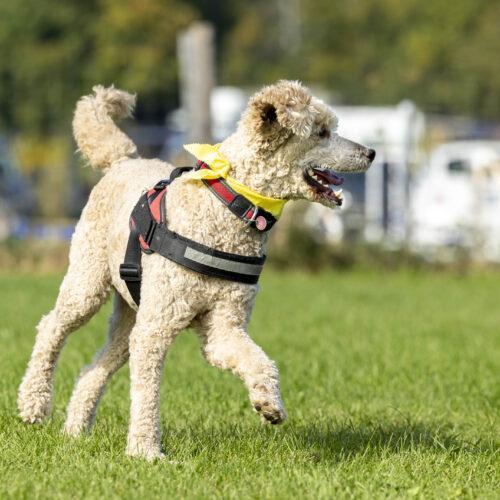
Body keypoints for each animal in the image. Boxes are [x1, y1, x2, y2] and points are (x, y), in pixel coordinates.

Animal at [17, 80, 374, 458]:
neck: (229, 203)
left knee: (93, 368)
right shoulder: (156, 329)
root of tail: (121, 161)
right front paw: (145, 451)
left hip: (130, 315)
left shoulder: (222, 325)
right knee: (50, 327)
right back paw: (33, 403)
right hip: (88, 284)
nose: (371, 153)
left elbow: (259, 360)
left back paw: (74, 431)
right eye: (321, 132)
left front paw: (269, 404)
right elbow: (146, 394)